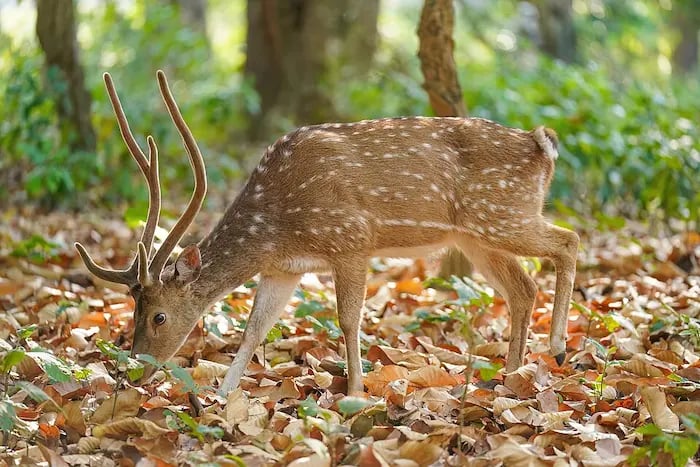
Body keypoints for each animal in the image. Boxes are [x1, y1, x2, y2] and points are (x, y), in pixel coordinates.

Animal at [75, 71, 579, 396]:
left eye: (158, 316)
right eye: (134, 309)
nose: (134, 370)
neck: (276, 225)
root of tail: (543, 146)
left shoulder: (351, 240)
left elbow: (349, 318)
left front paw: (355, 391)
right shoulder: (283, 269)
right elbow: (254, 330)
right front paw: (222, 396)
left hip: (503, 213)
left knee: (567, 240)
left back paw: (556, 349)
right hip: (476, 235)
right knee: (523, 286)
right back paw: (511, 375)